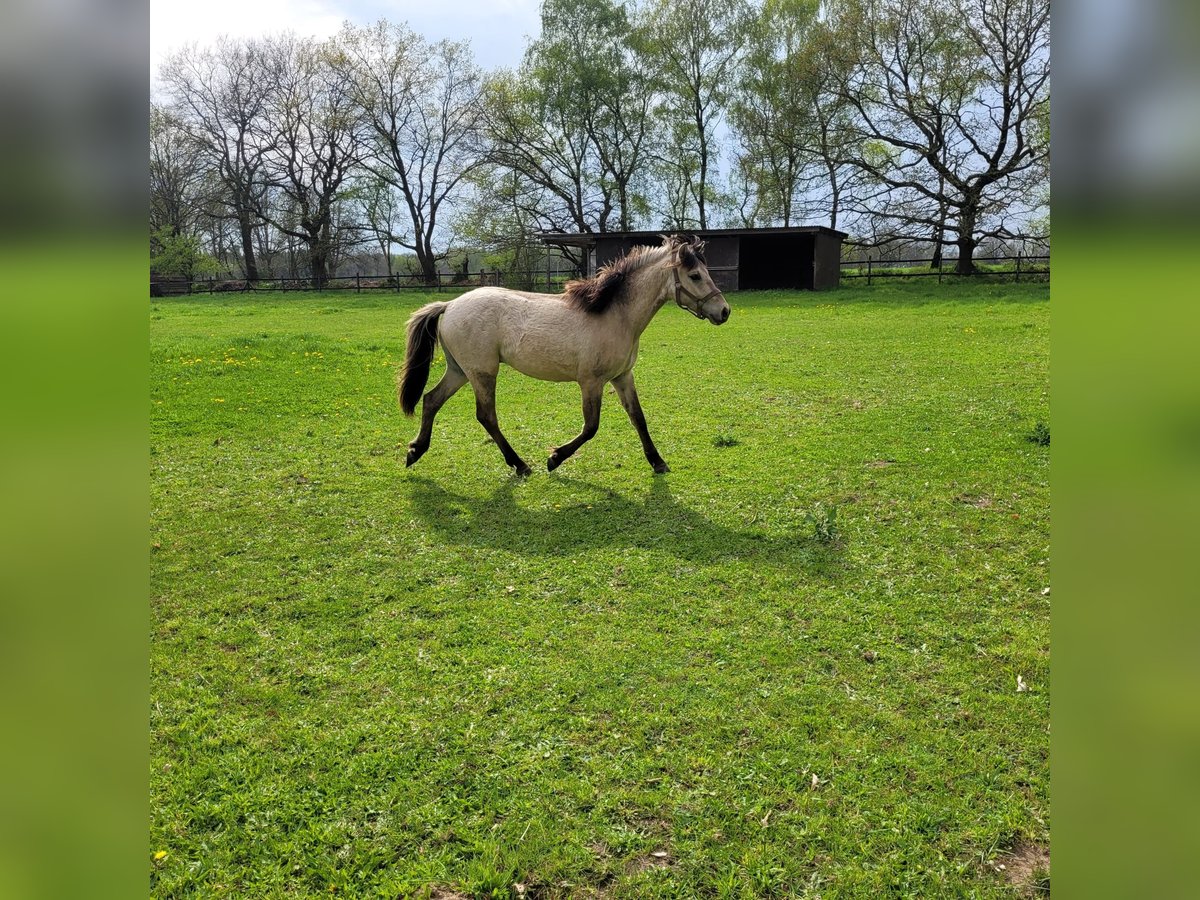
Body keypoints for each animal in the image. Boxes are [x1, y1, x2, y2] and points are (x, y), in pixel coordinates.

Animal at [397, 234, 730, 476]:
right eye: (695, 275)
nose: (724, 311)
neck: (614, 315)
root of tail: (450, 305)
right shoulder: (591, 382)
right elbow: (591, 427)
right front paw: (555, 458)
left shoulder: (623, 376)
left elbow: (638, 418)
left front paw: (658, 462)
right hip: (482, 372)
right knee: (486, 416)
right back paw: (520, 464)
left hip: (460, 370)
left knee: (431, 399)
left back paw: (415, 451)